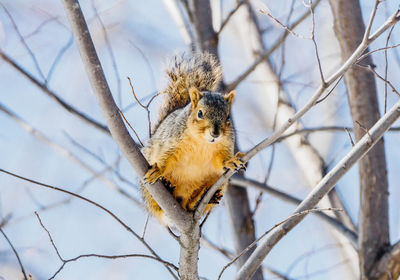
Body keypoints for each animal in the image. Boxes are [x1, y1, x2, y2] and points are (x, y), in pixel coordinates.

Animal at [141, 52, 244, 223]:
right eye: (200, 113)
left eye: (228, 117)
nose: (215, 134)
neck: (203, 142)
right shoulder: (172, 141)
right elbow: (166, 157)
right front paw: (158, 170)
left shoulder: (225, 146)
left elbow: (221, 161)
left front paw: (231, 161)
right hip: (148, 191)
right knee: (158, 208)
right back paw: (167, 187)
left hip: (218, 184)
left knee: (190, 205)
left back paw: (202, 199)